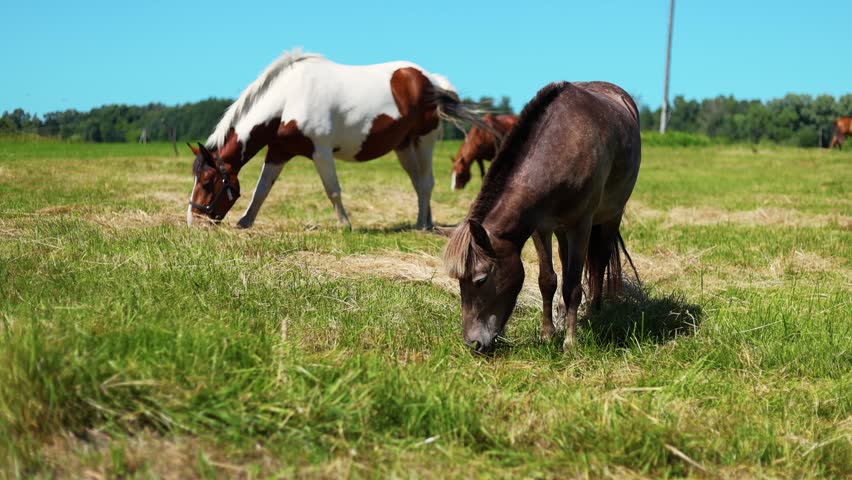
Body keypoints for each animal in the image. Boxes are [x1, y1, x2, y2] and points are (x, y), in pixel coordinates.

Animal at [186, 49, 488, 230]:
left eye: (208, 182)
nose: (194, 220)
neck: (288, 98)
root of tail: (430, 80)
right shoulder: (278, 151)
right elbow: (262, 189)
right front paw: (245, 221)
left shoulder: (321, 152)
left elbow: (332, 190)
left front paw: (345, 225)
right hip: (404, 146)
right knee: (418, 183)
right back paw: (425, 220)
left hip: (424, 140)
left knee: (426, 182)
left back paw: (421, 226)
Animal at [442, 81, 641, 354]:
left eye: (481, 279)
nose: (473, 344)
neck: (560, 147)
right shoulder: (540, 227)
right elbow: (547, 280)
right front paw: (547, 334)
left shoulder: (581, 225)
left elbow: (573, 285)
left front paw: (570, 342)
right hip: (562, 229)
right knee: (566, 261)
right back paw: (563, 313)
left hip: (612, 215)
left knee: (599, 261)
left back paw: (593, 310)